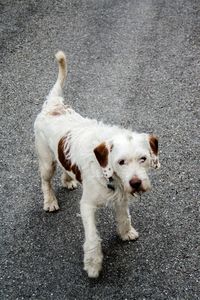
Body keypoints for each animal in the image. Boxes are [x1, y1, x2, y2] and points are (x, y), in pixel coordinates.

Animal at [34, 50, 159, 278]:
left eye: (143, 158)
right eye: (121, 162)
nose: (136, 183)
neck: (107, 173)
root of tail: (53, 105)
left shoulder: (121, 195)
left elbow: (124, 217)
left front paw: (126, 232)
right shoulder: (87, 205)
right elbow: (92, 238)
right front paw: (93, 264)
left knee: (64, 166)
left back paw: (68, 180)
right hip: (46, 161)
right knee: (45, 181)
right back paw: (49, 201)